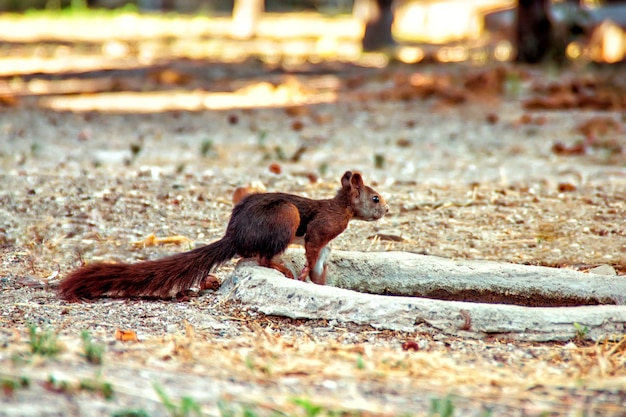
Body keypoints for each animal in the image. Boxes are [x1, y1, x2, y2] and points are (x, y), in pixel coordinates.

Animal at [61, 171, 388, 300]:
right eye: (375, 198)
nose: (386, 209)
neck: (341, 208)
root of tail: (235, 235)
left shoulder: (326, 245)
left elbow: (320, 265)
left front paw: (319, 283)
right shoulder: (320, 230)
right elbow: (311, 252)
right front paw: (304, 276)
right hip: (286, 216)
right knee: (264, 257)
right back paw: (281, 267)